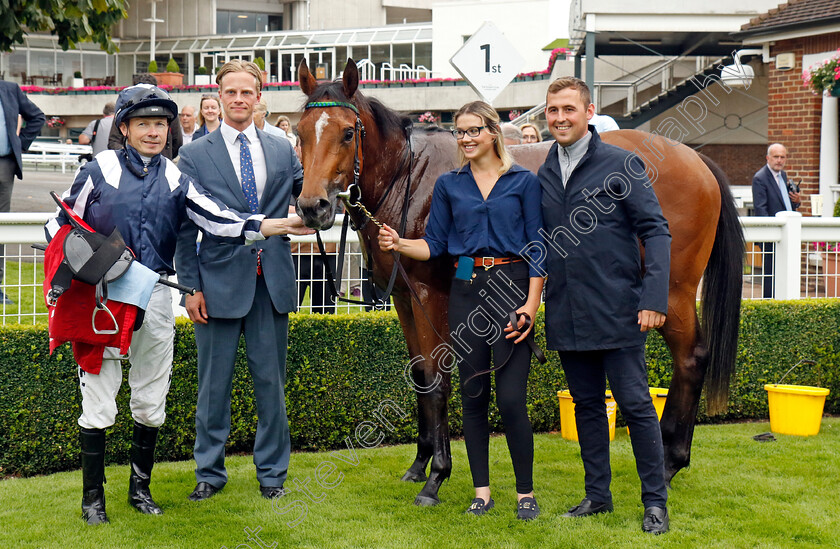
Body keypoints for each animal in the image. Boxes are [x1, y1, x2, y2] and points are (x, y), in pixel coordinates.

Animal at [294, 60, 740, 506]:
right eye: (299, 132)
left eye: (347, 133)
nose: (312, 206)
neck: (410, 178)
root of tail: (696, 159)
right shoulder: (403, 298)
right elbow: (420, 375)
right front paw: (419, 464)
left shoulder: (430, 297)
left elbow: (438, 379)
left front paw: (436, 476)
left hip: (672, 292)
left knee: (691, 358)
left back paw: (669, 463)